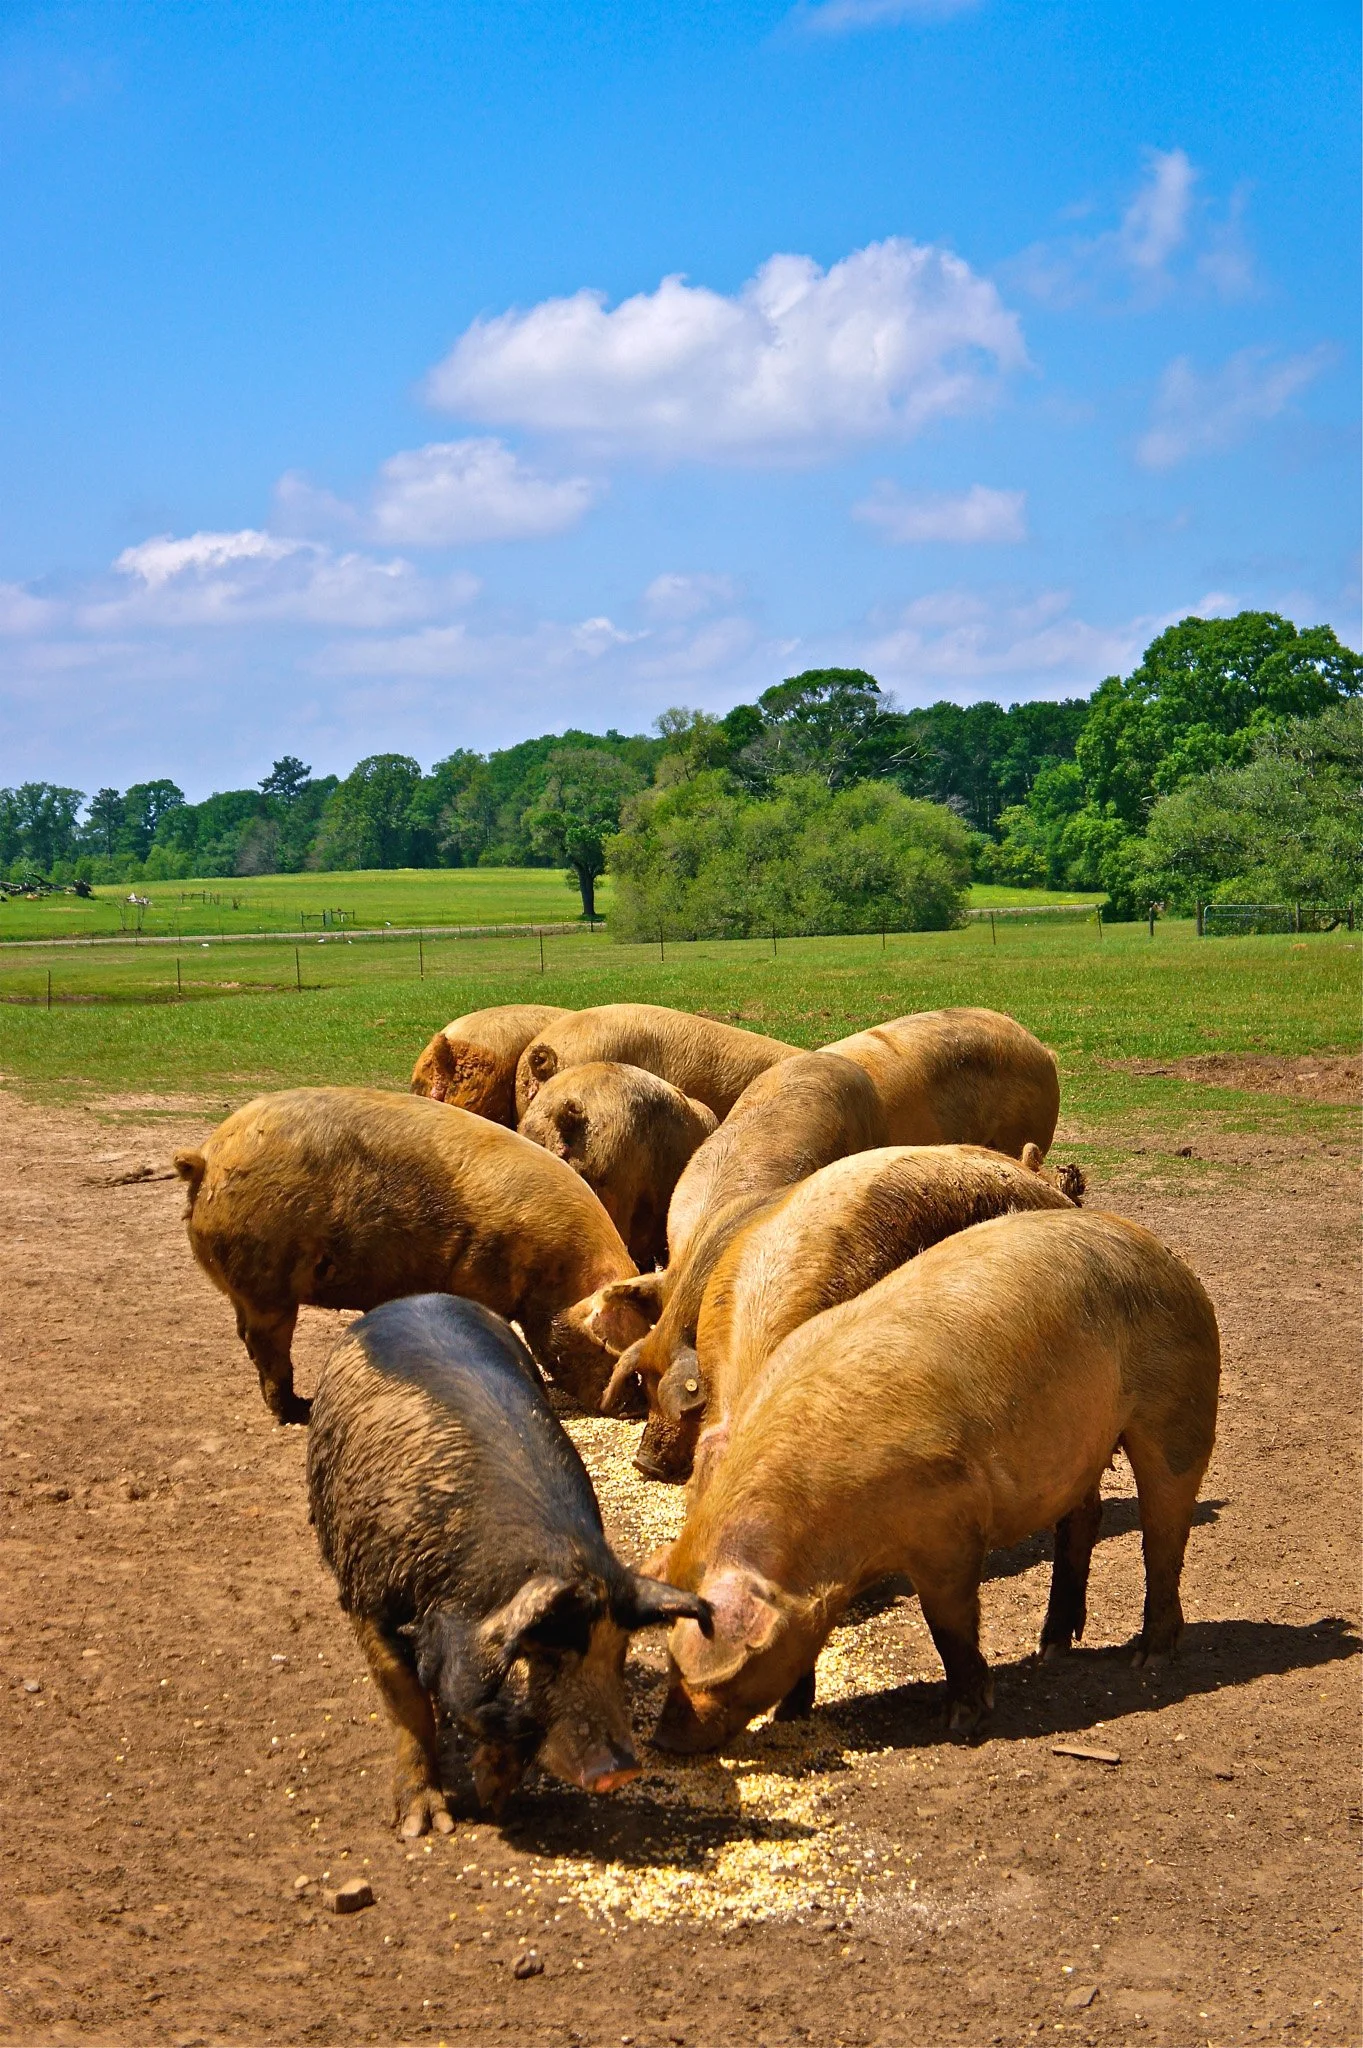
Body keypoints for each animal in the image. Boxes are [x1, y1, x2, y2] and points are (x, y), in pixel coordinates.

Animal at [172, 1087, 645, 1424]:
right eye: (608, 1346)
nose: (636, 1404)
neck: (555, 1269)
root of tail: (205, 1158)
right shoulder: (481, 1271)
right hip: (267, 1284)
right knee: (267, 1346)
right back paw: (296, 1411)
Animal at [307, 1293, 711, 1837]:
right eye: (549, 1652)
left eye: (620, 1652)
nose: (622, 1771)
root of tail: (414, 1298)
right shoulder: (368, 1593)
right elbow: (407, 1705)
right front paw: (424, 1826)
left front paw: (493, 1799)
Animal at [651, 1207, 1220, 1753]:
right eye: (669, 1662)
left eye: (714, 1672)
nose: (663, 1741)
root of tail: (1168, 1257)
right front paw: (790, 1715)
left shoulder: (949, 1522)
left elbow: (947, 1623)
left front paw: (963, 1719)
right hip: (1083, 1444)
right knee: (1083, 1520)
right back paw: (1050, 1649)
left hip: (1179, 1405)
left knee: (1164, 1530)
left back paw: (1148, 1657)